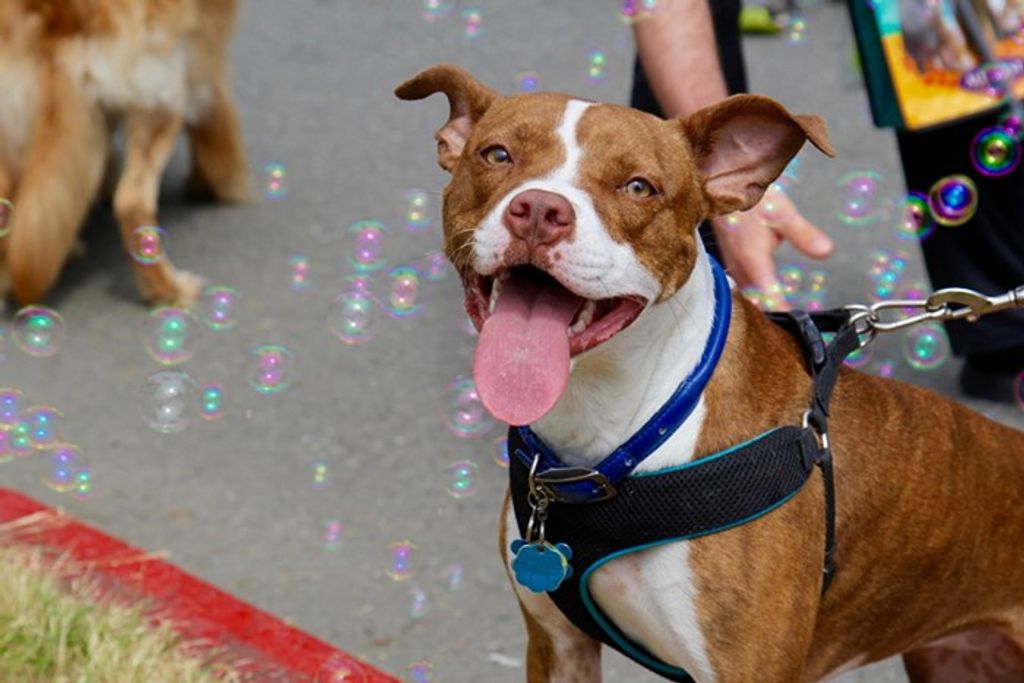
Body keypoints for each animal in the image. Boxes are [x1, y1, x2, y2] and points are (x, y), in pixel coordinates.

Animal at [0, 0, 249, 305]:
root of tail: (60, 11)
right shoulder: (201, 44)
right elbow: (217, 106)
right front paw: (225, 181)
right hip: (160, 102)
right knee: (131, 202)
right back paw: (168, 288)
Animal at [395, 65, 1024, 683]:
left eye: (638, 187)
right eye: (497, 155)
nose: (540, 211)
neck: (609, 429)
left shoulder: (747, 669)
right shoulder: (558, 645)